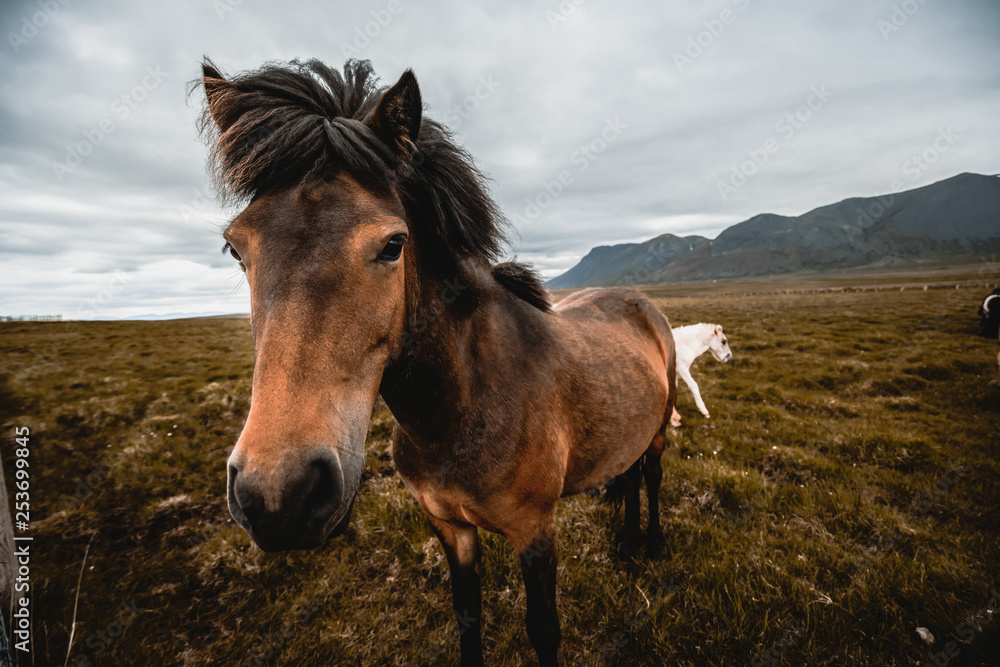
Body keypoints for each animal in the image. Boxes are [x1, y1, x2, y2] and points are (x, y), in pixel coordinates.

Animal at [198, 58, 676, 667]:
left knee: (653, 475)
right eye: (237, 249)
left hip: (660, 429)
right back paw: (629, 541)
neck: (462, 409)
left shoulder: (536, 532)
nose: (281, 494)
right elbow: (466, 616)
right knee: (631, 472)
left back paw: (653, 543)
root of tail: (640, 302)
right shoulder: (450, 527)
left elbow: (544, 630)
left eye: (393, 245)